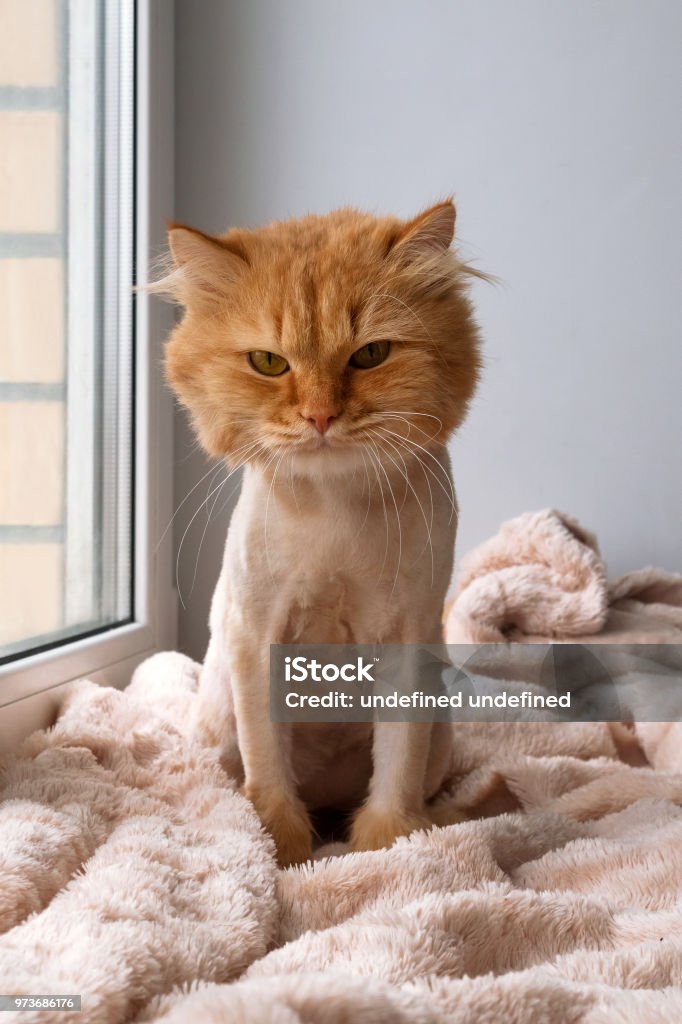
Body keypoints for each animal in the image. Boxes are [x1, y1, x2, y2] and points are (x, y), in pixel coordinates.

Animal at [157, 199, 481, 864]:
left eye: (371, 354)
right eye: (269, 363)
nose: (321, 417)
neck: (334, 509)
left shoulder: (409, 633)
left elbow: (396, 772)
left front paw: (389, 846)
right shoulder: (256, 633)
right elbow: (268, 771)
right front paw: (283, 851)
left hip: (442, 730)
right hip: (216, 728)